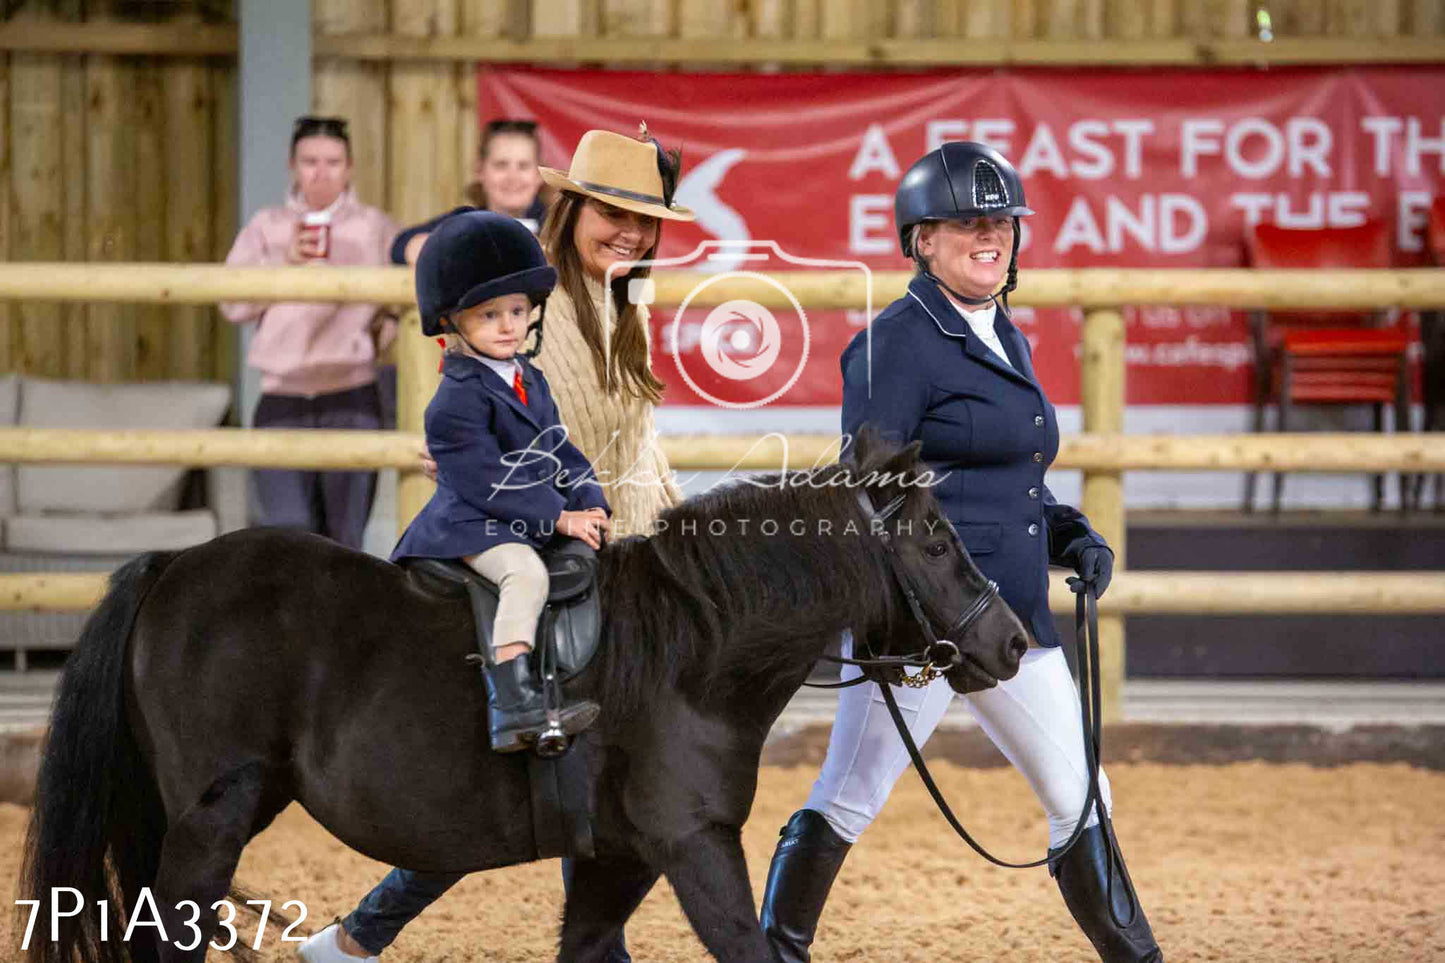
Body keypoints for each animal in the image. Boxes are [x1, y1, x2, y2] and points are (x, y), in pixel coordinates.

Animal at [16, 430, 1023, 954]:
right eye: (936, 539)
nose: (1008, 640)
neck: (688, 653)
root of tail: (171, 566)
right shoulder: (692, 841)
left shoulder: (620, 857)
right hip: (211, 820)